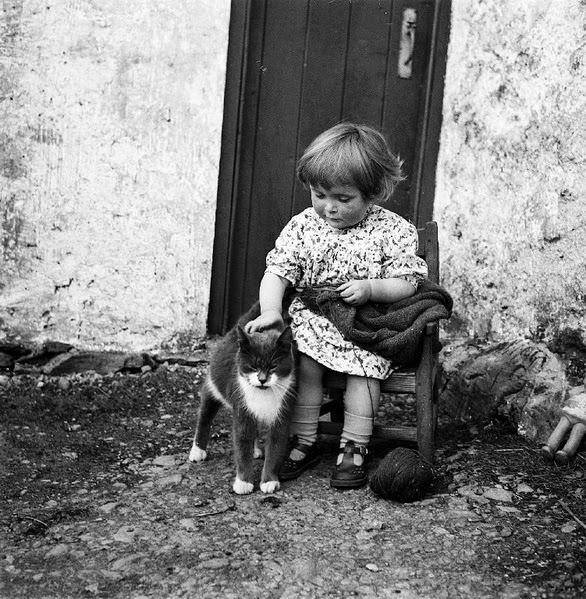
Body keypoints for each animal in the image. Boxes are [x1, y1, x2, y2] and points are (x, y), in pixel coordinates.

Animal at [189, 308, 294, 494]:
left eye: (273, 366)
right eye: (253, 366)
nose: (262, 379)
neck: (263, 394)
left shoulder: (281, 413)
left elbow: (275, 446)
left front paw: (269, 481)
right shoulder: (242, 408)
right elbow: (242, 443)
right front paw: (244, 482)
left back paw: (256, 450)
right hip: (213, 385)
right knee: (205, 415)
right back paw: (197, 450)